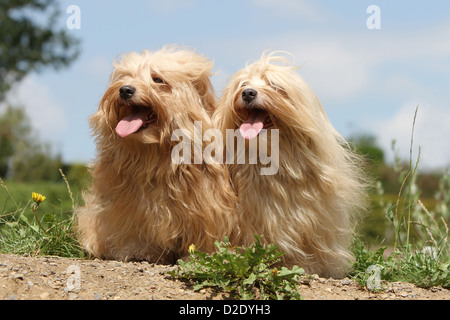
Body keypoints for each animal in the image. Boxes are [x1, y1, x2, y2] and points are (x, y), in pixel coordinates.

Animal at [74, 47, 236, 262]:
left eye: (158, 79)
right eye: (126, 77)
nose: (125, 90)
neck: (157, 155)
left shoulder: (207, 205)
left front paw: (201, 254)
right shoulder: (128, 205)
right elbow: (133, 228)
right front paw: (139, 250)